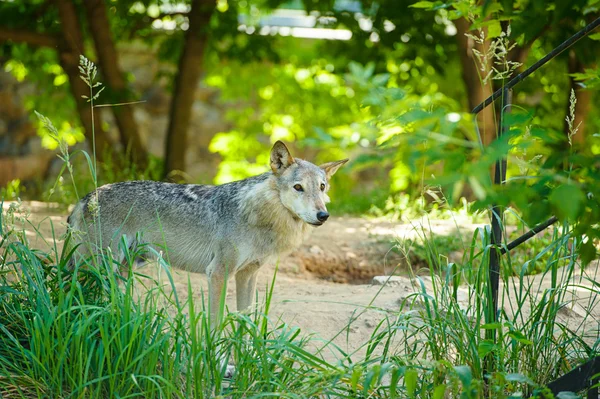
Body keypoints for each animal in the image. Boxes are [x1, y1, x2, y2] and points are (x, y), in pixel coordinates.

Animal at [67, 142, 346, 326]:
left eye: (322, 187)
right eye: (298, 187)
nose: (323, 215)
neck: (258, 217)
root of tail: (88, 197)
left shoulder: (247, 275)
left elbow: (245, 323)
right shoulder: (219, 274)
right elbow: (215, 324)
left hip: (125, 269)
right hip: (101, 266)